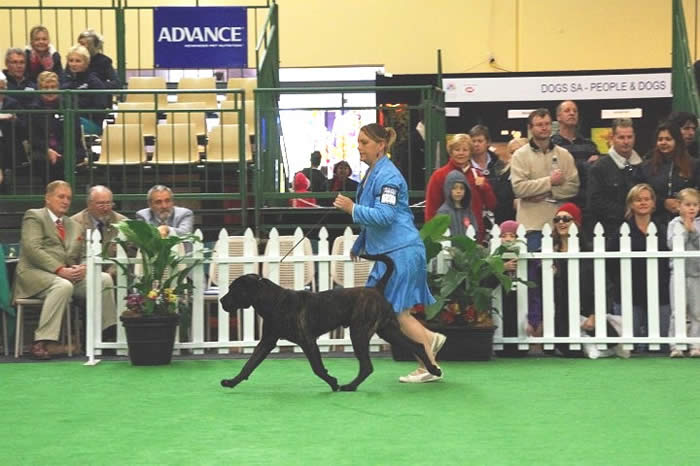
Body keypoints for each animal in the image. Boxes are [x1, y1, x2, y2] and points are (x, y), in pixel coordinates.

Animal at [220, 253, 438, 392]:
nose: (222, 301)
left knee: (367, 366)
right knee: (417, 346)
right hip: (388, 330)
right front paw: (232, 382)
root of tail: (377, 289)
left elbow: (317, 367)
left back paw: (349, 386)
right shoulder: (266, 341)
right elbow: (249, 364)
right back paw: (434, 369)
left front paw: (332, 382)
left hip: (359, 332)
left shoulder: (307, 340)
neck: (273, 301)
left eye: (234, 290)